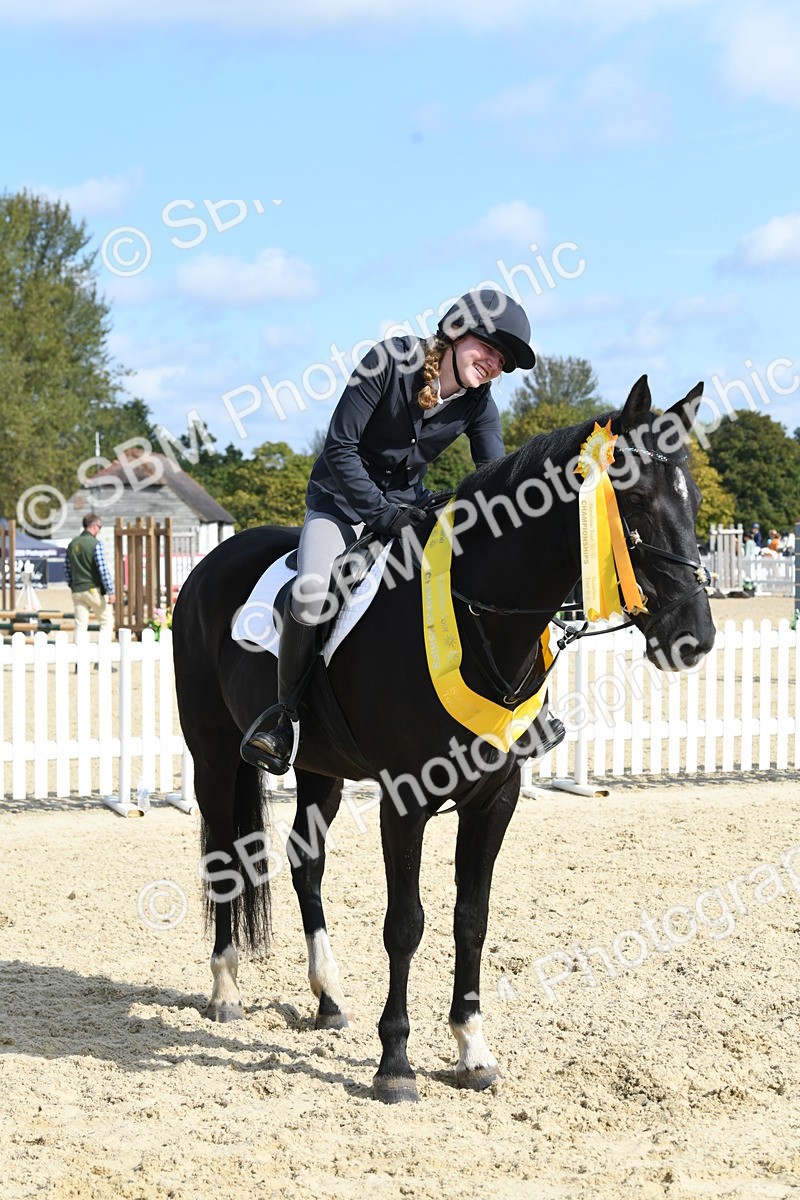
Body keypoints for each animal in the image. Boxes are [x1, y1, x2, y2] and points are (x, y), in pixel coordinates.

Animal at [172, 375, 716, 1103]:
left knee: (305, 862)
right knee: (224, 858)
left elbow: (470, 918)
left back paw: (328, 998)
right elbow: (406, 924)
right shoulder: (404, 802)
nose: (694, 636)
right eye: (632, 499)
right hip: (213, 754)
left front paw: (472, 1050)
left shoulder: (495, 799)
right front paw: (396, 1063)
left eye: (693, 497)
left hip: (320, 768)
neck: (475, 616)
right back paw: (225, 988)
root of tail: (212, 561)